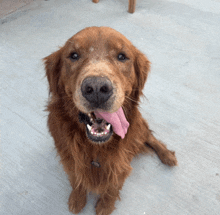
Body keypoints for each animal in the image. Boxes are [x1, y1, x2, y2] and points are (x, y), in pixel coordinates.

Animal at [43, 26, 178, 215]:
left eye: (122, 56)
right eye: (74, 55)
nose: (97, 88)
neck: (95, 148)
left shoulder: (120, 166)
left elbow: (112, 188)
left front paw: (105, 206)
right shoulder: (70, 161)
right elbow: (76, 180)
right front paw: (77, 198)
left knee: (149, 136)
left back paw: (167, 155)